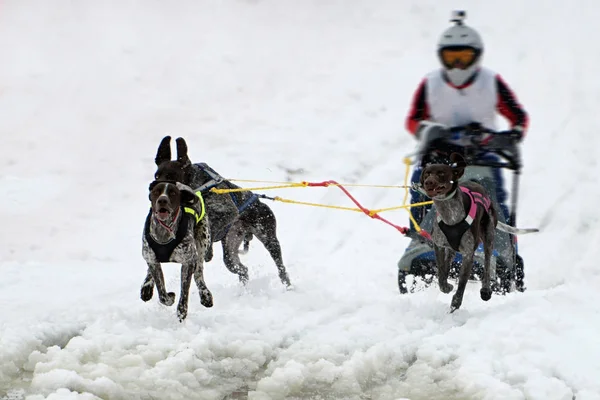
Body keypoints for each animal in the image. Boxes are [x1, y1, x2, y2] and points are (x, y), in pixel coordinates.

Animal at [140, 181, 213, 322]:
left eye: (173, 193)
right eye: (157, 191)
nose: (162, 200)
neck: (164, 231)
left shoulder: (188, 262)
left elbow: (184, 291)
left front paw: (182, 311)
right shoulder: (152, 259)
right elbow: (162, 293)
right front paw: (169, 298)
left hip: (202, 243)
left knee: (198, 272)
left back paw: (205, 294)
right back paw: (146, 287)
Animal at [154, 137, 292, 288]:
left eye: (171, 175)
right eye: (157, 176)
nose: (158, 191)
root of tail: (259, 201)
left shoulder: (228, 212)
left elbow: (212, 227)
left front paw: (208, 249)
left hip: (269, 238)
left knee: (280, 266)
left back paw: (287, 284)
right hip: (230, 253)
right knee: (242, 269)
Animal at [414, 153, 536, 312]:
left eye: (441, 173)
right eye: (427, 173)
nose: (428, 182)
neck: (450, 214)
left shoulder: (468, 254)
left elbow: (462, 283)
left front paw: (456, 303)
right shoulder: (438, 245)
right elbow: (441, 273)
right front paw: (446, 285)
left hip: (489, 237)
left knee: (487, 262)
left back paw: (486, 290)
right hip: (452, 247)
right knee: (448, 260)